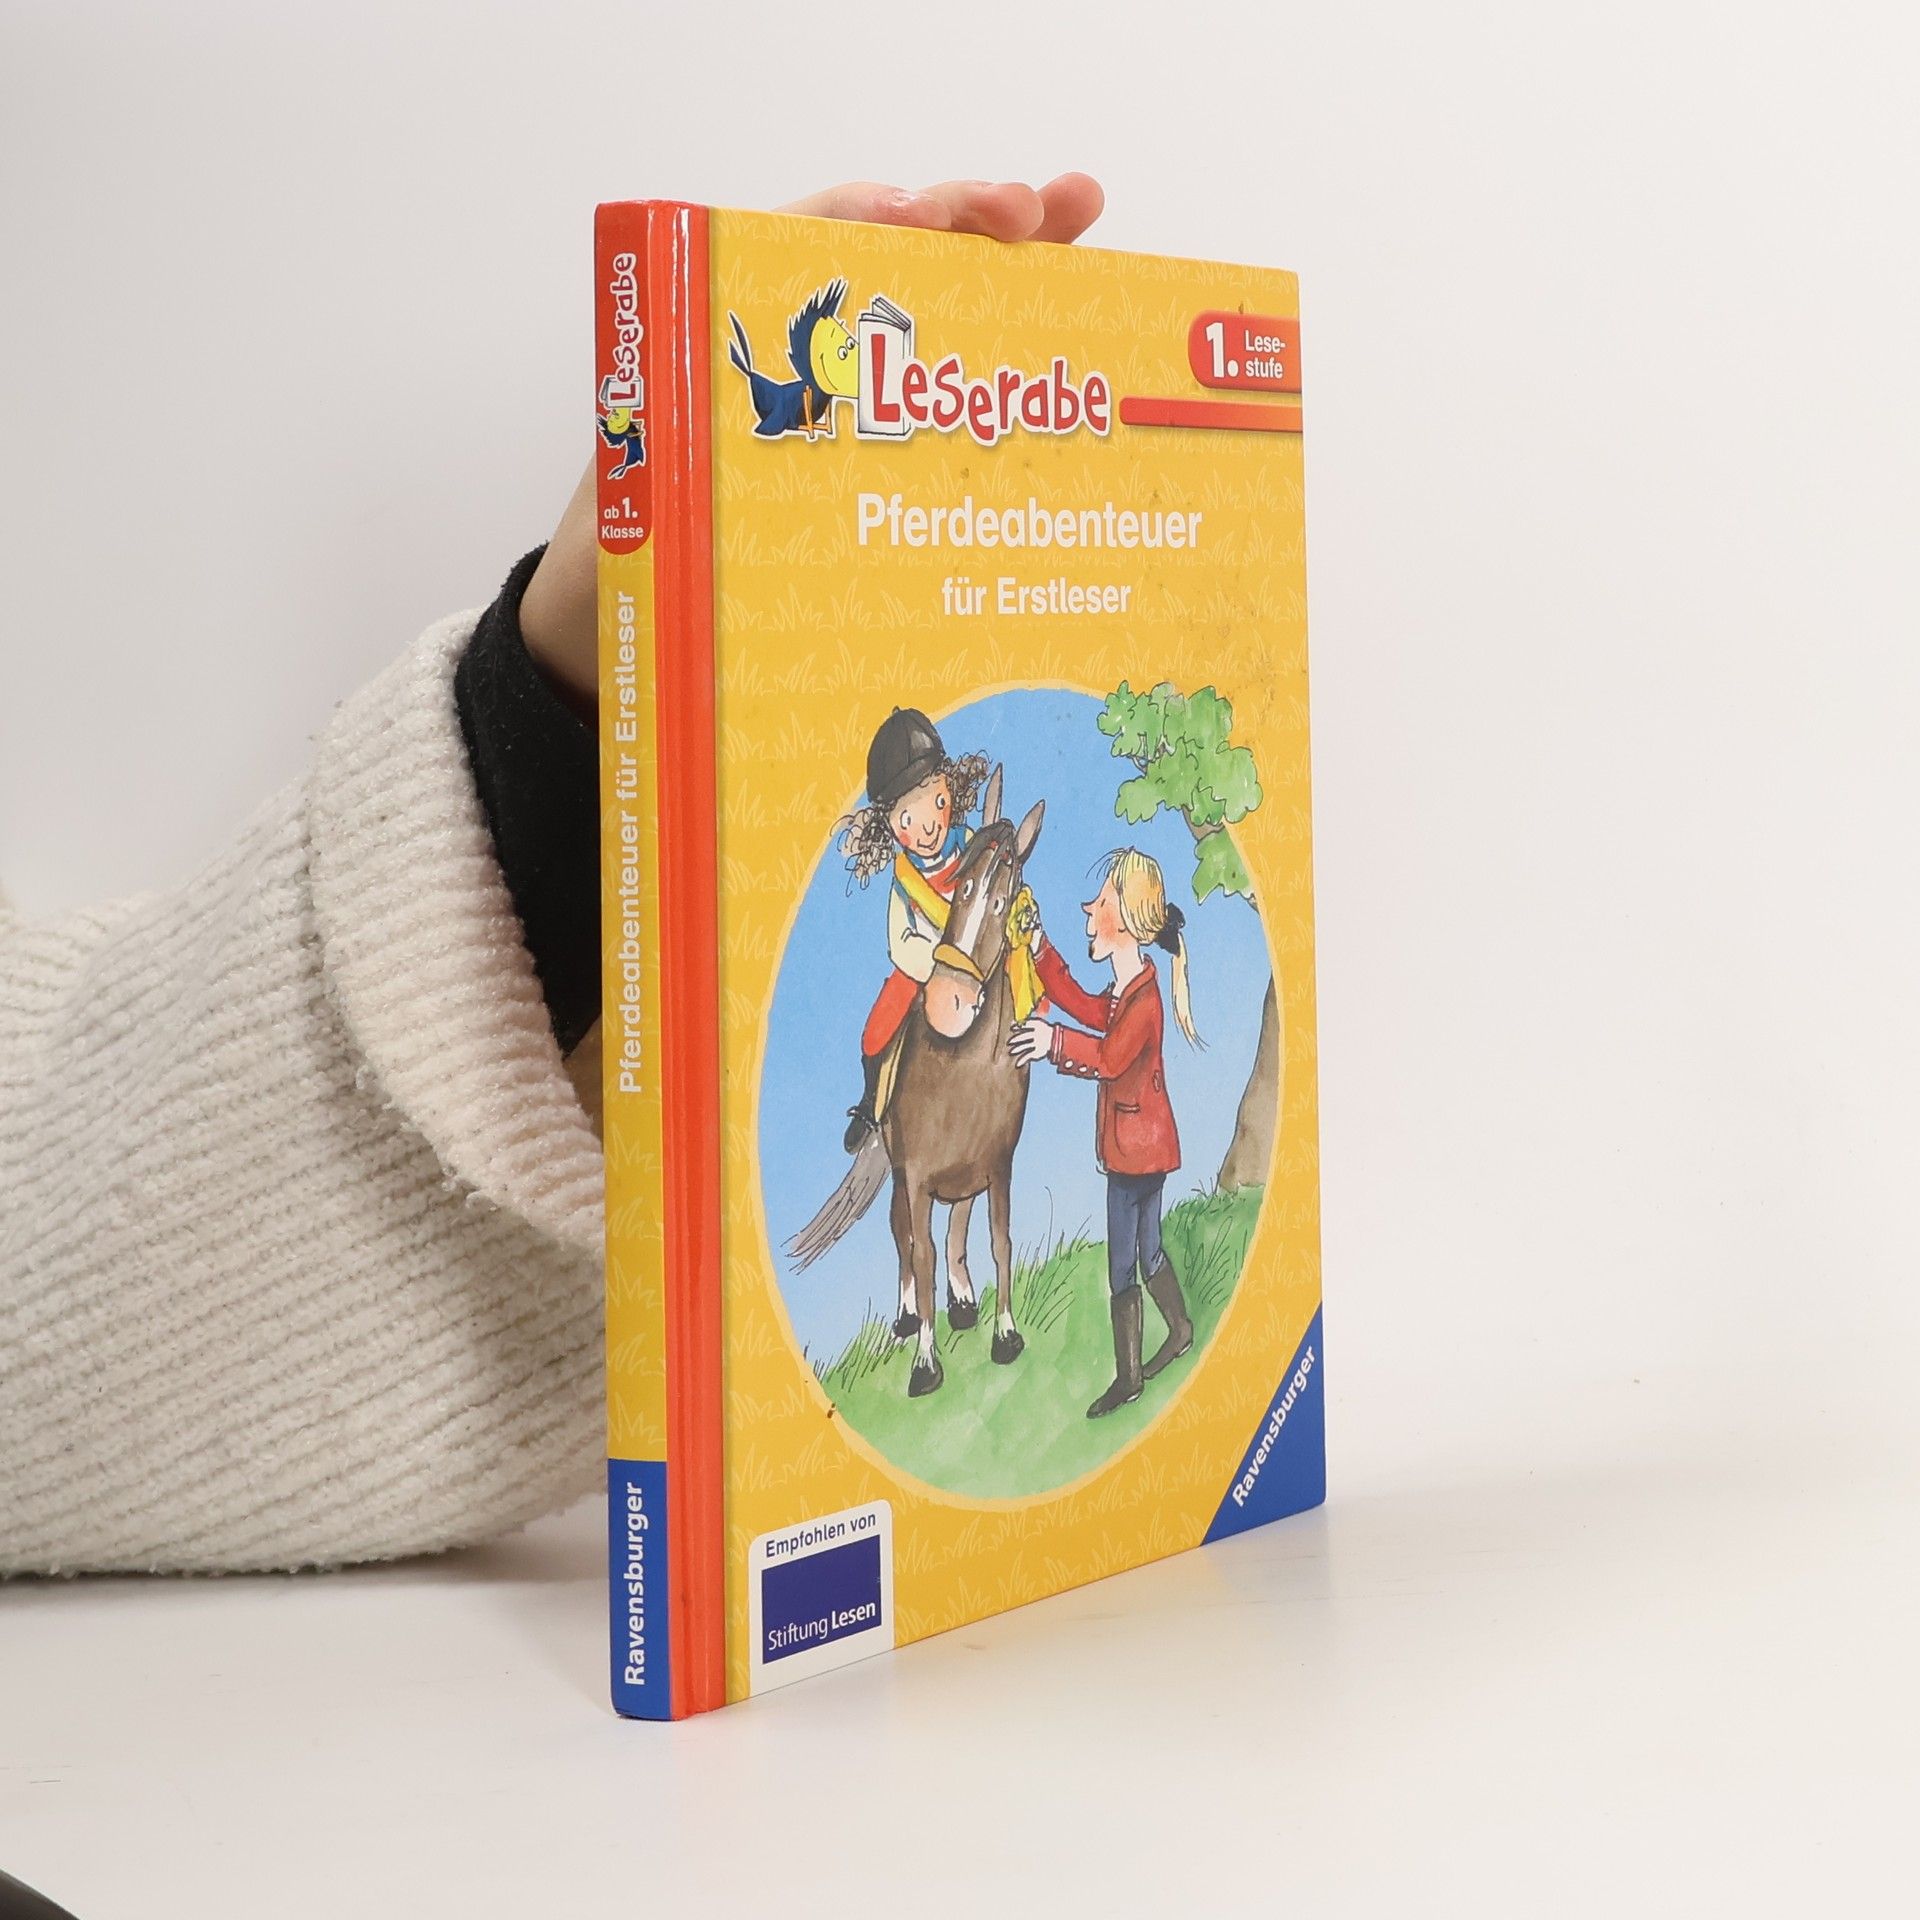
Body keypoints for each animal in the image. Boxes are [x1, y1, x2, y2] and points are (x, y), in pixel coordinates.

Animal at [786, 768, 1045, 1398]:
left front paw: (1004, 1334)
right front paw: (926, 1363)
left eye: (1004, 901)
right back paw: (909, 1317)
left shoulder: (997, 1166)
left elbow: (995, 1239)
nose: (949, 1003)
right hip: (898, 1167)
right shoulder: (918, 1175)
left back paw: (964, 1304)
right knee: (902, 1233)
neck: (965, 1065)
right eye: (962, 889)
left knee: (955, 1228)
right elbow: (921, 1253)